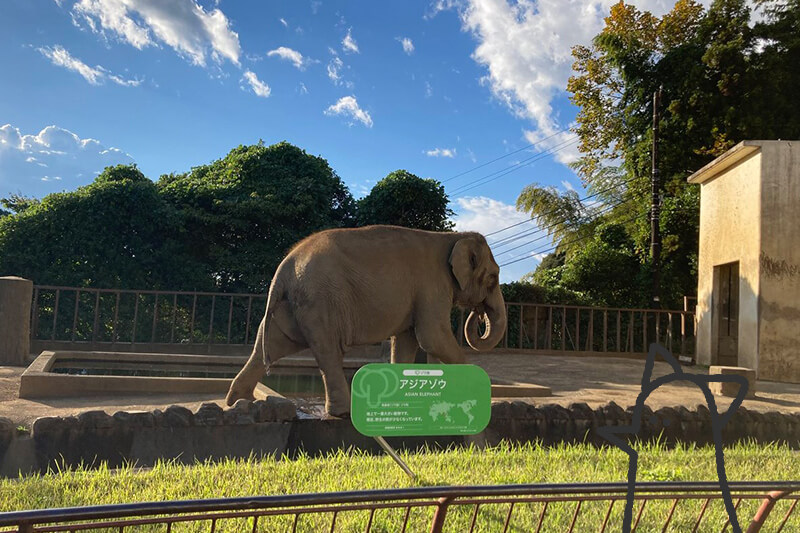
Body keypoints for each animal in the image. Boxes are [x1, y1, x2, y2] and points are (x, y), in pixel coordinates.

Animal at [225, 224, 506, 416]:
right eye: (493, 277)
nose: (478, 314)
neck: (452, 236)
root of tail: (283, 268)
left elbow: (407, 341)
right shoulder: (432, 285)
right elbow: (432, 337)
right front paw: (479, 392)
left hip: (293, 305)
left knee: (271, 344)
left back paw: (240, 401)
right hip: (321, 300)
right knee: (328, 350)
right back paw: (343, 413)